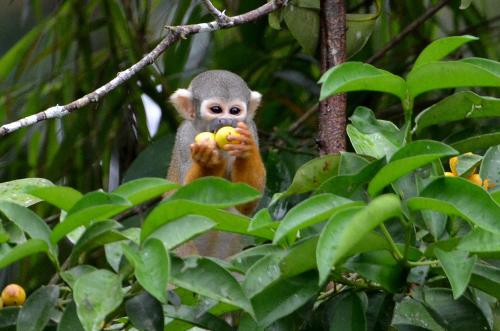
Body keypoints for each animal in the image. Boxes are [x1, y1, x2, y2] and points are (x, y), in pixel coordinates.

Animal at [166, 70, 268, 260]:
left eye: (234, 111)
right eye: (216, 110)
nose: (226, 121)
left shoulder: (250, 129)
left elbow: (248, 202)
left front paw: (246, 149)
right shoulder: (185, 136)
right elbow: (188, 199)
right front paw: (208, 161)